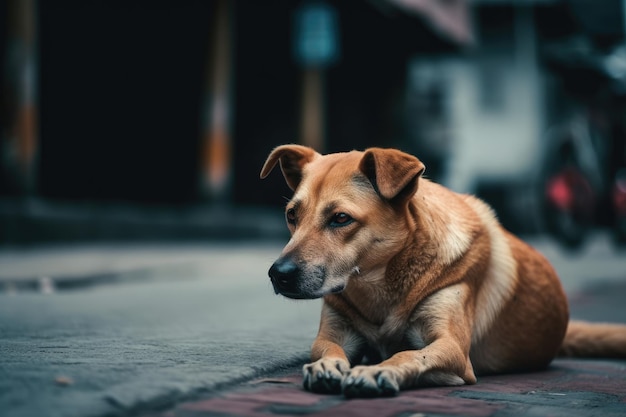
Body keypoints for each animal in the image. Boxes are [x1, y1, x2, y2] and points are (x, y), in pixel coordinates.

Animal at [258, 144, 624, 396]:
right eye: (292, 215)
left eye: (341, 218)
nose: (279, 274)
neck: (381, 285)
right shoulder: (334, 333)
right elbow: (328, 349)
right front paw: (325, 366)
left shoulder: (452, 348)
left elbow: (408, 355)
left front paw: (375, 371)